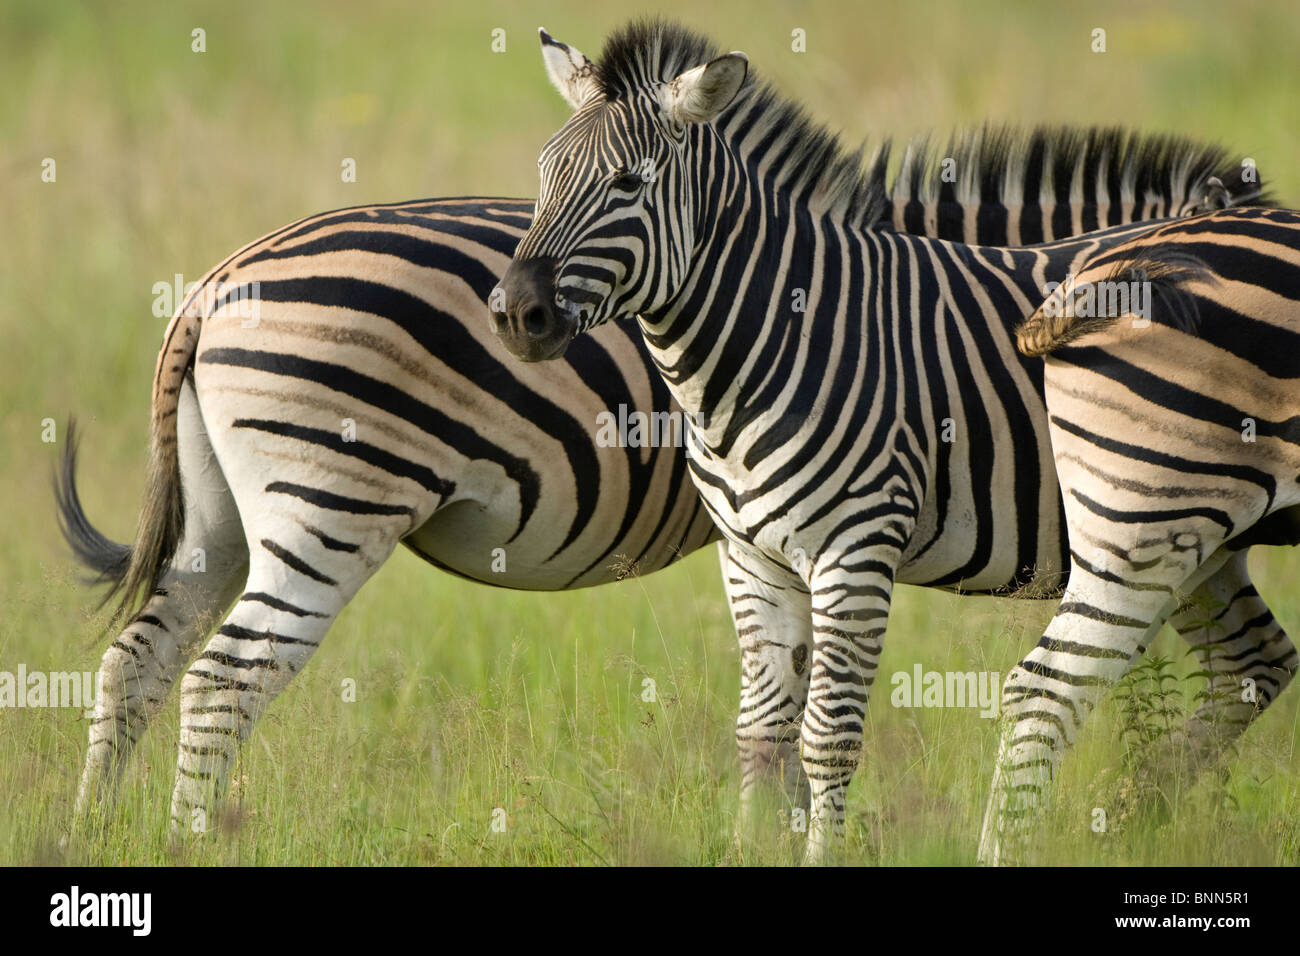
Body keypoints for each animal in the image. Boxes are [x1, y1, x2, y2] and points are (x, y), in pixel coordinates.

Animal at [61, 89, 1258, 832]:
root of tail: (217, 282)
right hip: (329, 503)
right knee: (224, 675)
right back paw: (191, 837)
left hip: (225, 517)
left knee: (140, 659)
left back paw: (101, 839)